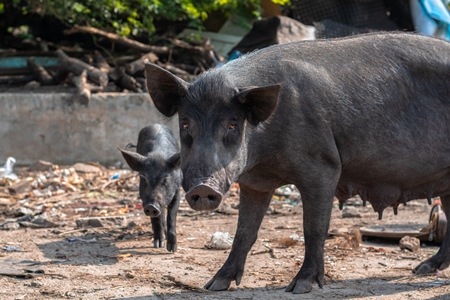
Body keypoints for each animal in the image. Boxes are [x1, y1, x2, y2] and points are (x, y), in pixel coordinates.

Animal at [120, 125, 182, 253]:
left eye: (165, 179)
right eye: (144, 179)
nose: (151, 206)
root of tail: (155, 124)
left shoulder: (177, 192)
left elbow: (172, 215)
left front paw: (172, 249)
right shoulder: (144, 198)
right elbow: (156, 218)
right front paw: (158, 244)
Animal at [143, 33, 450, 292]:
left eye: (232, 124)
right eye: (185, 123)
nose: (203, 188)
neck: (265, 159)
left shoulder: (324, 166)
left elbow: (314, 229)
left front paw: (300, 286)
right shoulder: (255, 183)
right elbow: (245, 232)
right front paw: (214, 285)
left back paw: (421, 272)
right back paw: (422, 268)